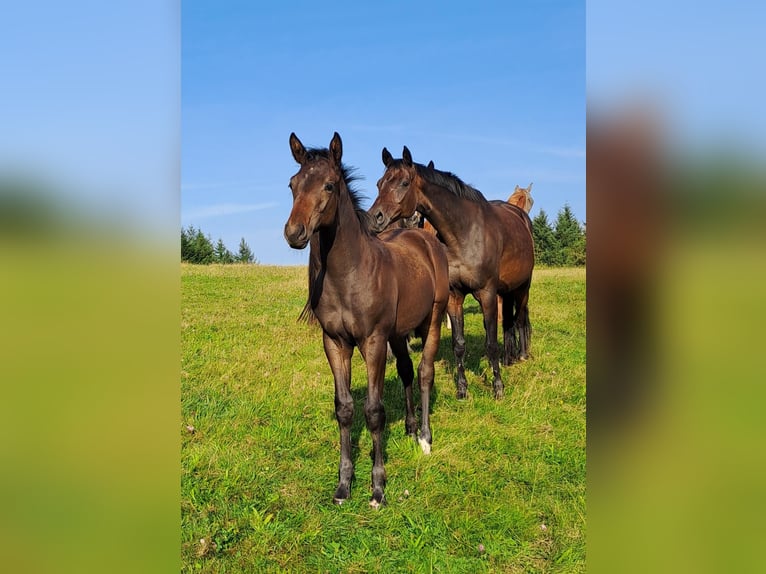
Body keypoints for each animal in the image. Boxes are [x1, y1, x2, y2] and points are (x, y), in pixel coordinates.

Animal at [284, 132, 450, 508]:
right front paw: (343, 485)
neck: (350, 274)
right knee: (406, 370)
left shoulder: (373, 342)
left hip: (433, 318)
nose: (294, 233)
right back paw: (409, 426)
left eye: (329, 185)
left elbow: (373, 411)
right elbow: (345, 408)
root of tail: (424, 239)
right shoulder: (335, 342)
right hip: (398, 334)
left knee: (424, 373)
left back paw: (424, 437)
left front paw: (377, 488)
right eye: (292, 184)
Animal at [370, 147, 536, 400]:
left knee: (520, 318)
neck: (464, 233)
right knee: (509, 321)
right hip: (507, 290)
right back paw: (509, 358)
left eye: (404, 183)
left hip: (523, 286)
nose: (375, 217)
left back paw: (523, 354)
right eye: (380, 183)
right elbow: (458, 344)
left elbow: (491, 343)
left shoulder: (487, 294)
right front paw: (462, 389)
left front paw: (498, 388)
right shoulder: (454, 296)